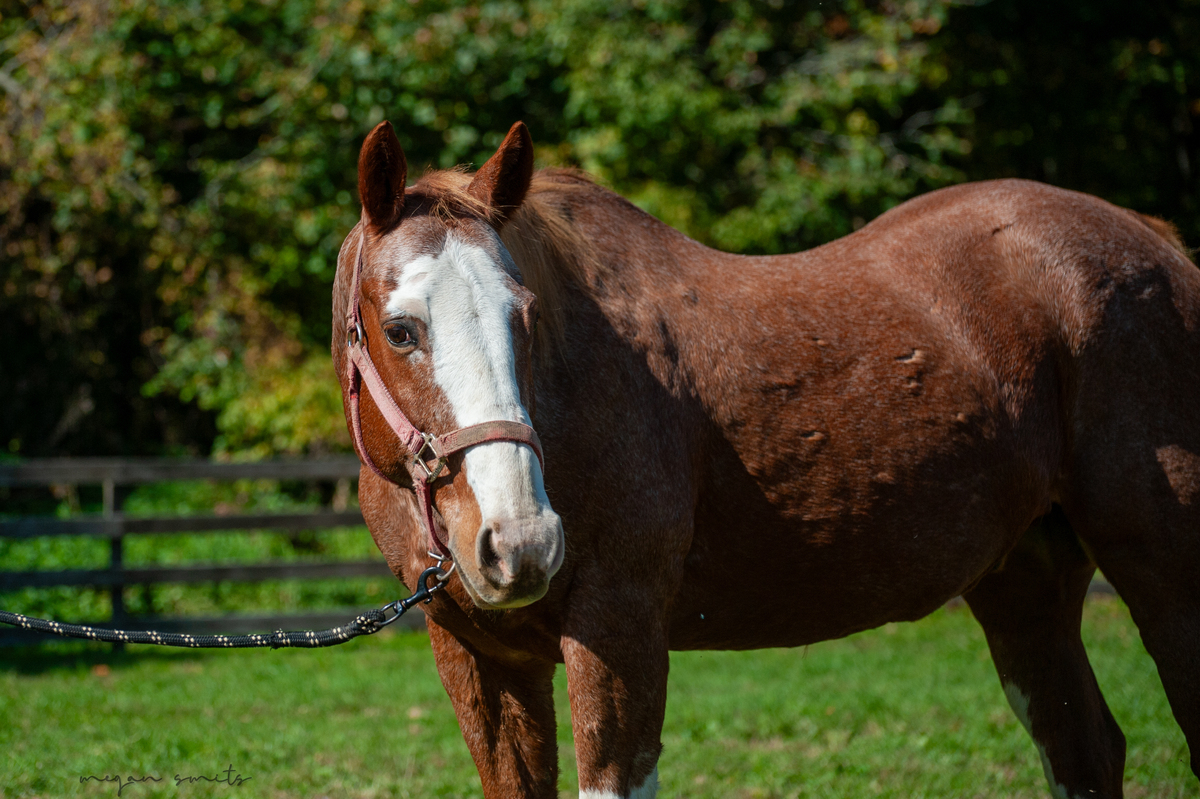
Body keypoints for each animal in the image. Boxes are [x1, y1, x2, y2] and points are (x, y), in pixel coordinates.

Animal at [332, 119, 1200, 799]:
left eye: (526, 317)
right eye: (402, 329)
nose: (521, 541)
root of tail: (1156, 243)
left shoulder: (620, 628)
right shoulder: (481, 657)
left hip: (1162, 563)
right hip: (1025, 581)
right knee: (1086, 749)